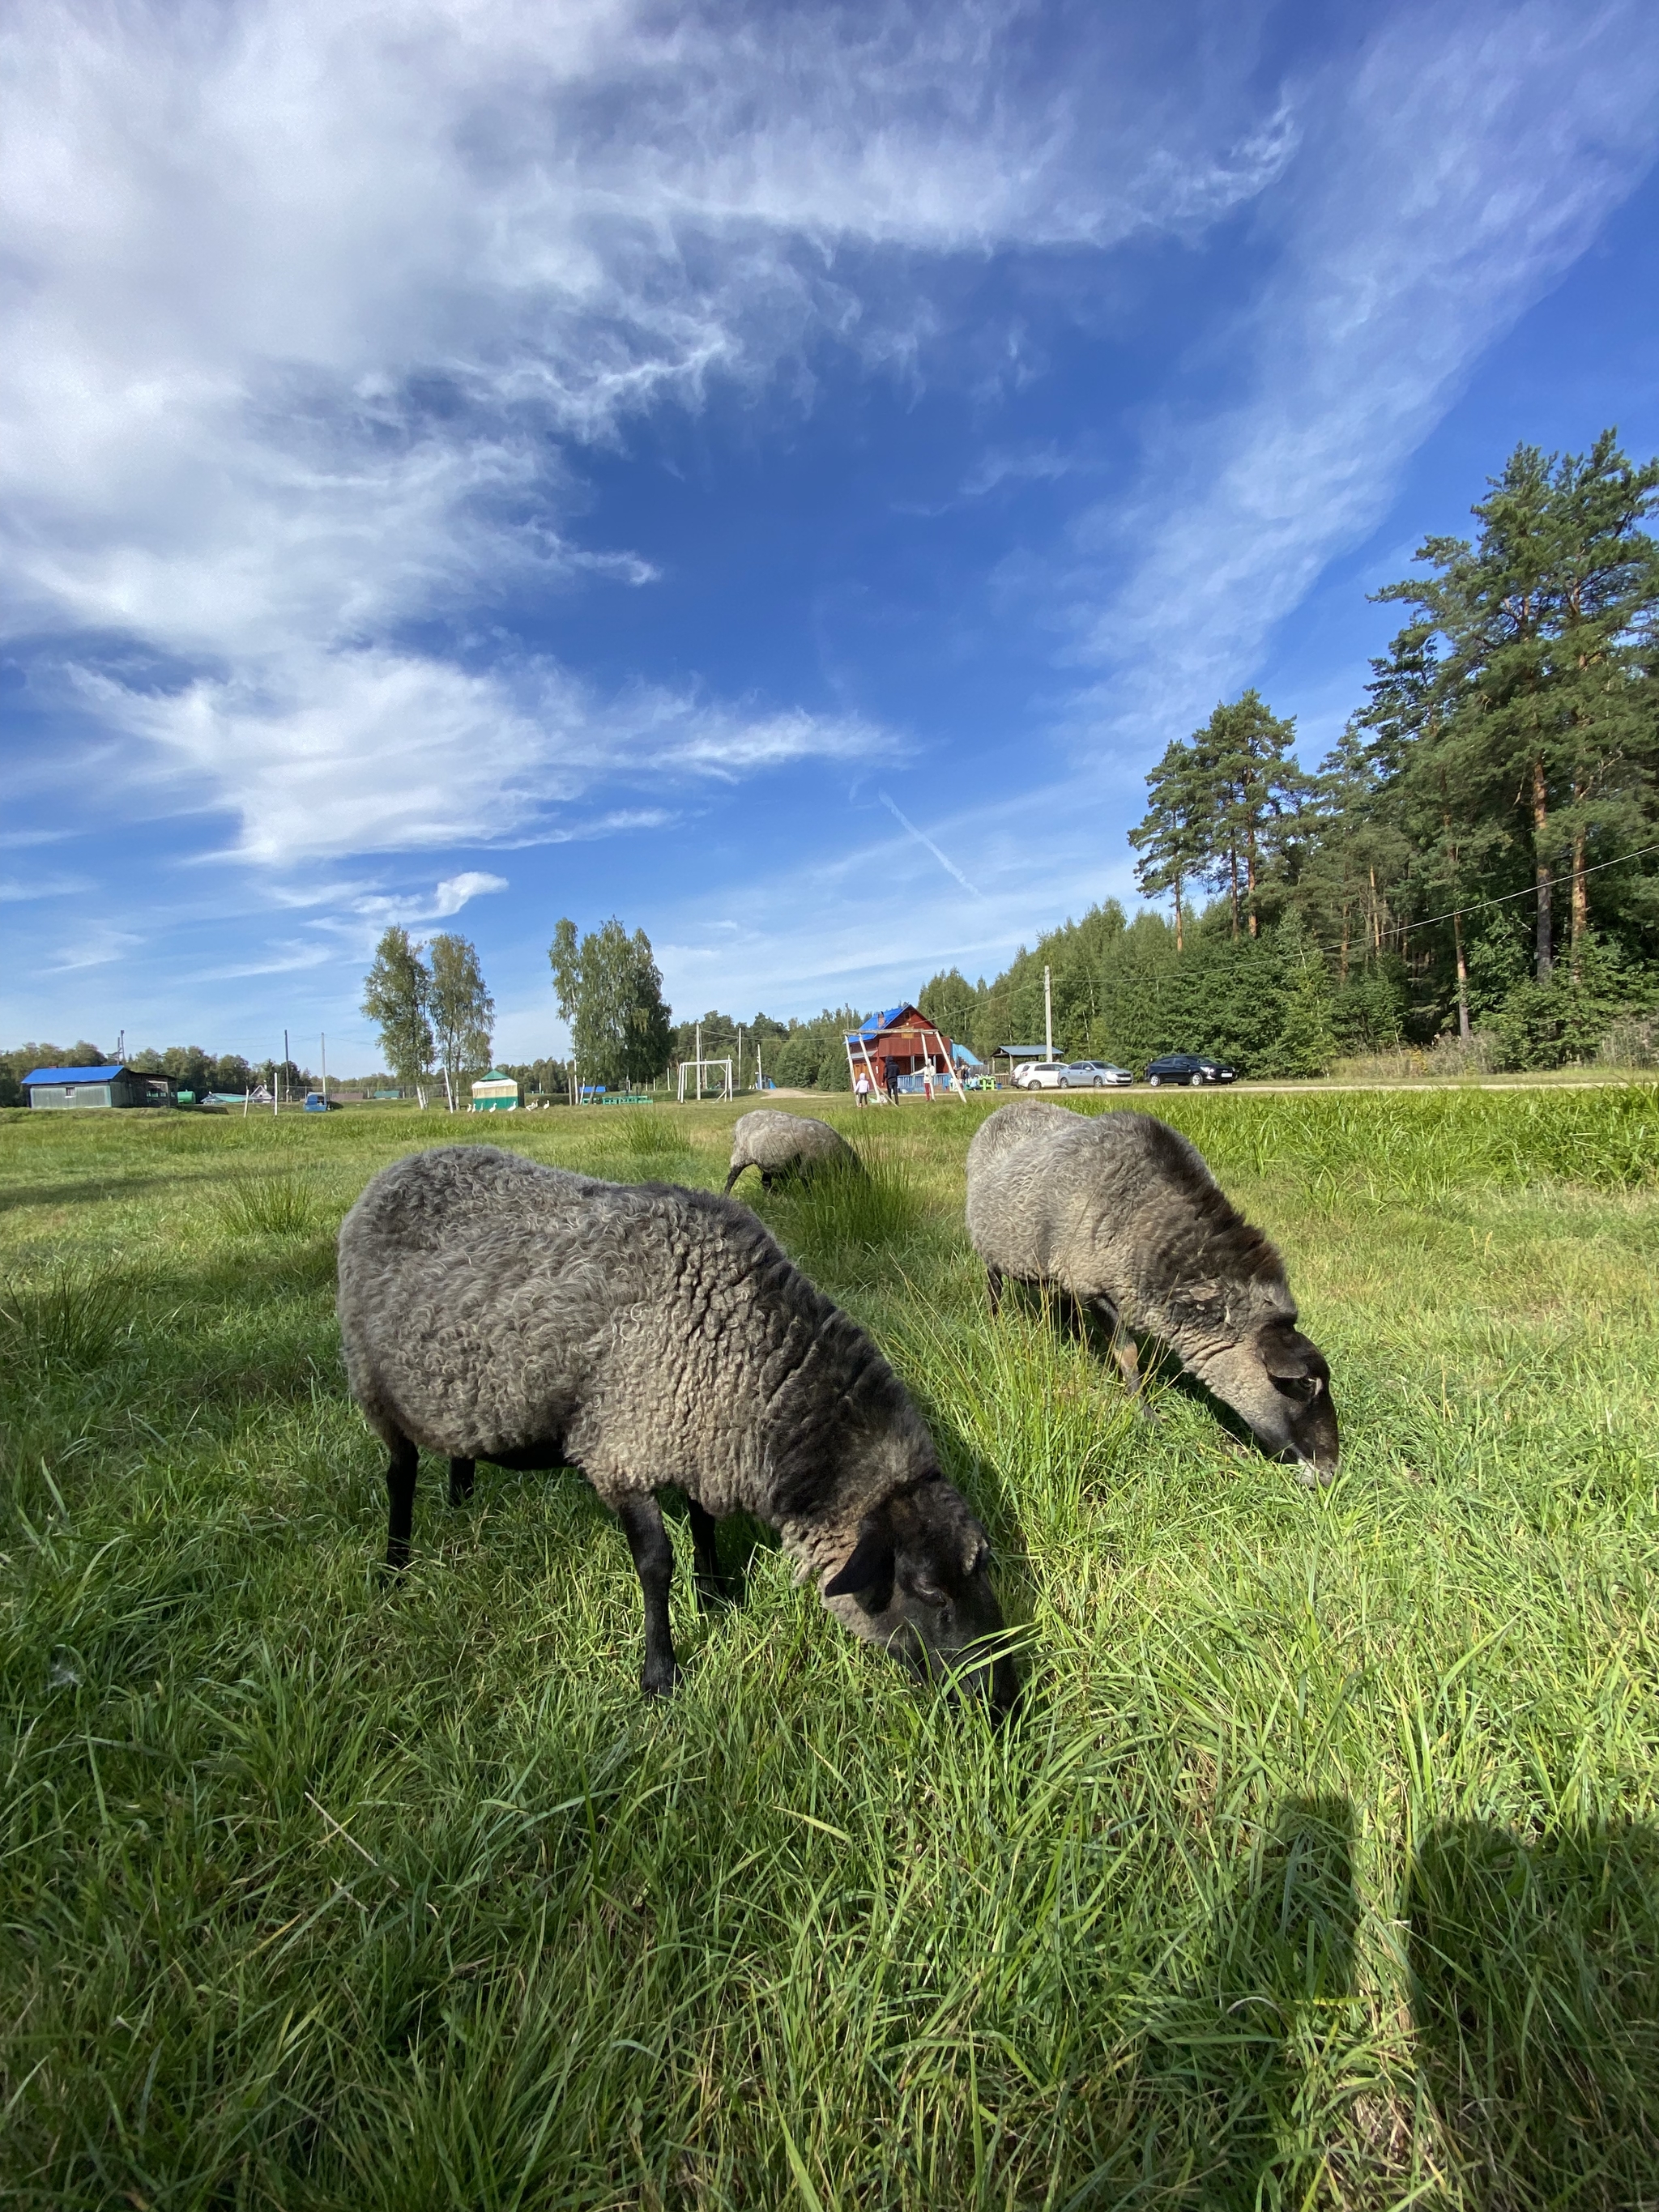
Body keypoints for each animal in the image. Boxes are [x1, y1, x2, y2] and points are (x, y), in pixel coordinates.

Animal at [336, 1141, 1013, 1707]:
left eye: (983, 1566)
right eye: (929, 1591)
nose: (1004, 1699)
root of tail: (394, 1168)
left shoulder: (697, 1434)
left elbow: (704, 1521)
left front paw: (715, 1593)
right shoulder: (623, 1449)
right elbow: (655, 1562)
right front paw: (660, 1673)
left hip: (459, 1386)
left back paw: (461, 1496)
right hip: (372, 1380)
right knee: (399, 1473)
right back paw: (395, 1566)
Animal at [725, 1115, 862, 1203]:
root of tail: (739, 1121)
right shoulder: (805, 1170)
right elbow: (808, 1190)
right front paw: (812, 1202)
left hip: (767, 1163)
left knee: (765, 1182)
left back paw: (773, 1200)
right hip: (740, 1155)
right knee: (732, 1178)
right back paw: (725, 1196)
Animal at [969, 1106, 1345, 1486]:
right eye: (1305, 1384)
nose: (1332, 1472)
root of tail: (1008, 1109)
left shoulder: (1081, 1279)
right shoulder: (1098, 1288)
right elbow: (1128, 1354)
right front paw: (1145, 1415)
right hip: (989, 1248)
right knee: (995, 1286)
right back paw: (996, 1326)